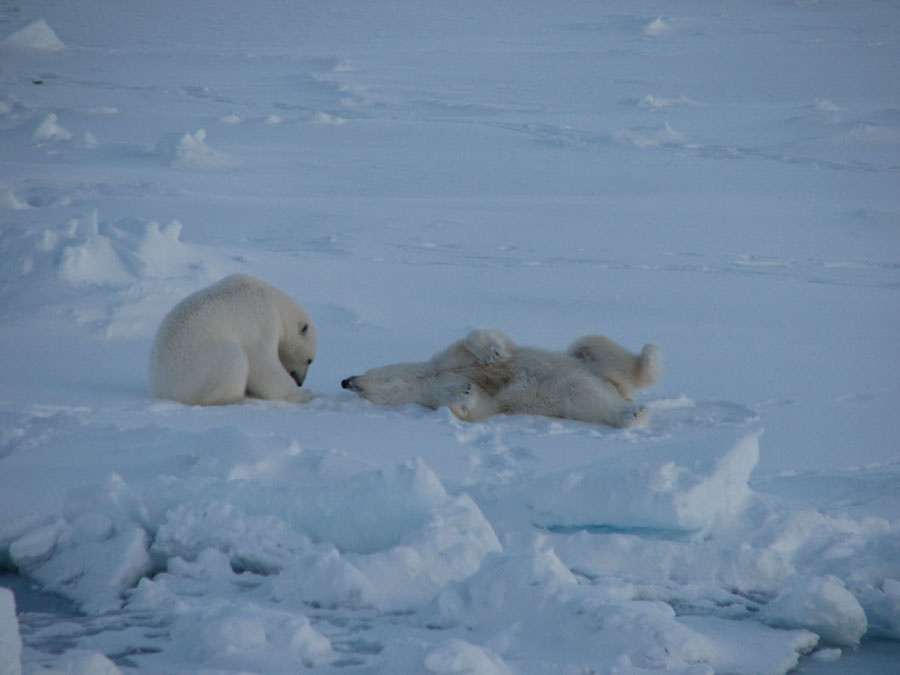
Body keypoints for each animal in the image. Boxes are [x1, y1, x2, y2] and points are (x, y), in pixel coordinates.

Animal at [149, 274, 317, 405]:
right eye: (309, 360)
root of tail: (162, 390)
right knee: (234, 358)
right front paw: (304, 395)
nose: (300, 382)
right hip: (196, 369)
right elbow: (263, 365)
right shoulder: (262, 323)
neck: (275, 304)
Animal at [341, 329, 660, 428]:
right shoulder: (432, 391)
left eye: (363, 376)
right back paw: (634, 414)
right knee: (591, 399)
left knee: (592, 345)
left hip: (586, 361)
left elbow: (480, 341)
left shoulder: (448, 358)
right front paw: (465, 391)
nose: (346, 380)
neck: (426, 375)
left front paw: (491, 352)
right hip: (573, 397)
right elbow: (479, 405)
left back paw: (649, 356)